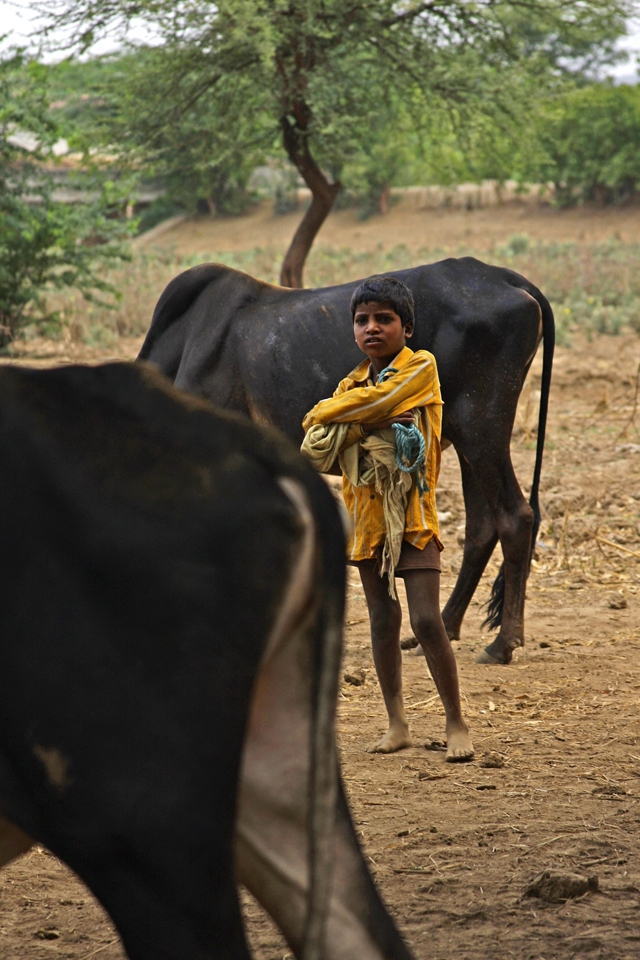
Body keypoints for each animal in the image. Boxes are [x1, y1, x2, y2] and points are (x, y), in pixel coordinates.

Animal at [138, 258, 554, 665]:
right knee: (481, 527)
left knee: (515, 517)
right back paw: (445, 628)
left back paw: (503, 643)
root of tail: (507, 278)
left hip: (483, 427)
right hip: (468, 437)